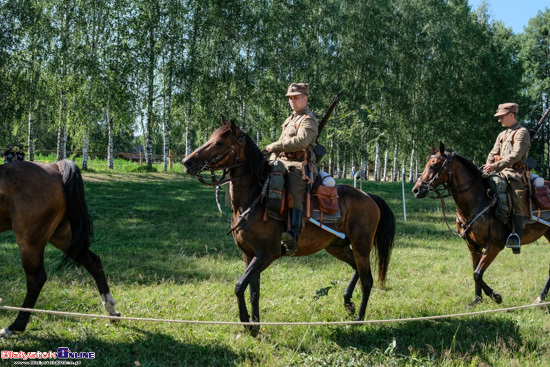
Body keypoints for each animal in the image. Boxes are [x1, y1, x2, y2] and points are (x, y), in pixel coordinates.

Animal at [0, 160, 120, 338]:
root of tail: (55, 166)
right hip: (62, 236)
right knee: (93, 262)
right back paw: (111, 310)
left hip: (30, 240)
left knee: (36, 279)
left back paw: (15, 326)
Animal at [184, 119, 396, 338]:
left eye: (219, 142)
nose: (187, 162)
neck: (254, 199)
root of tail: (369, 197)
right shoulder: (249, 255)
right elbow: (253, 291)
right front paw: (255, 325)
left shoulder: (267, 254)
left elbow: (239, 285)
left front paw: (247, 323)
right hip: (337, 246)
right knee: (356, 268)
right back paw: (348, 303)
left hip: (362, 245)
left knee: (367, 280)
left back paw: (358, 319)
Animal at [414, 142, 550, 306]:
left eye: (433, 165)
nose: (416, 190)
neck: (477, 201)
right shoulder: (473, 247)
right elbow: (475, 272)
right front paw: (477, 299)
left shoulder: (494, 246)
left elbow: (478, 274)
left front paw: (496, 296)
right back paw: (540, 298)